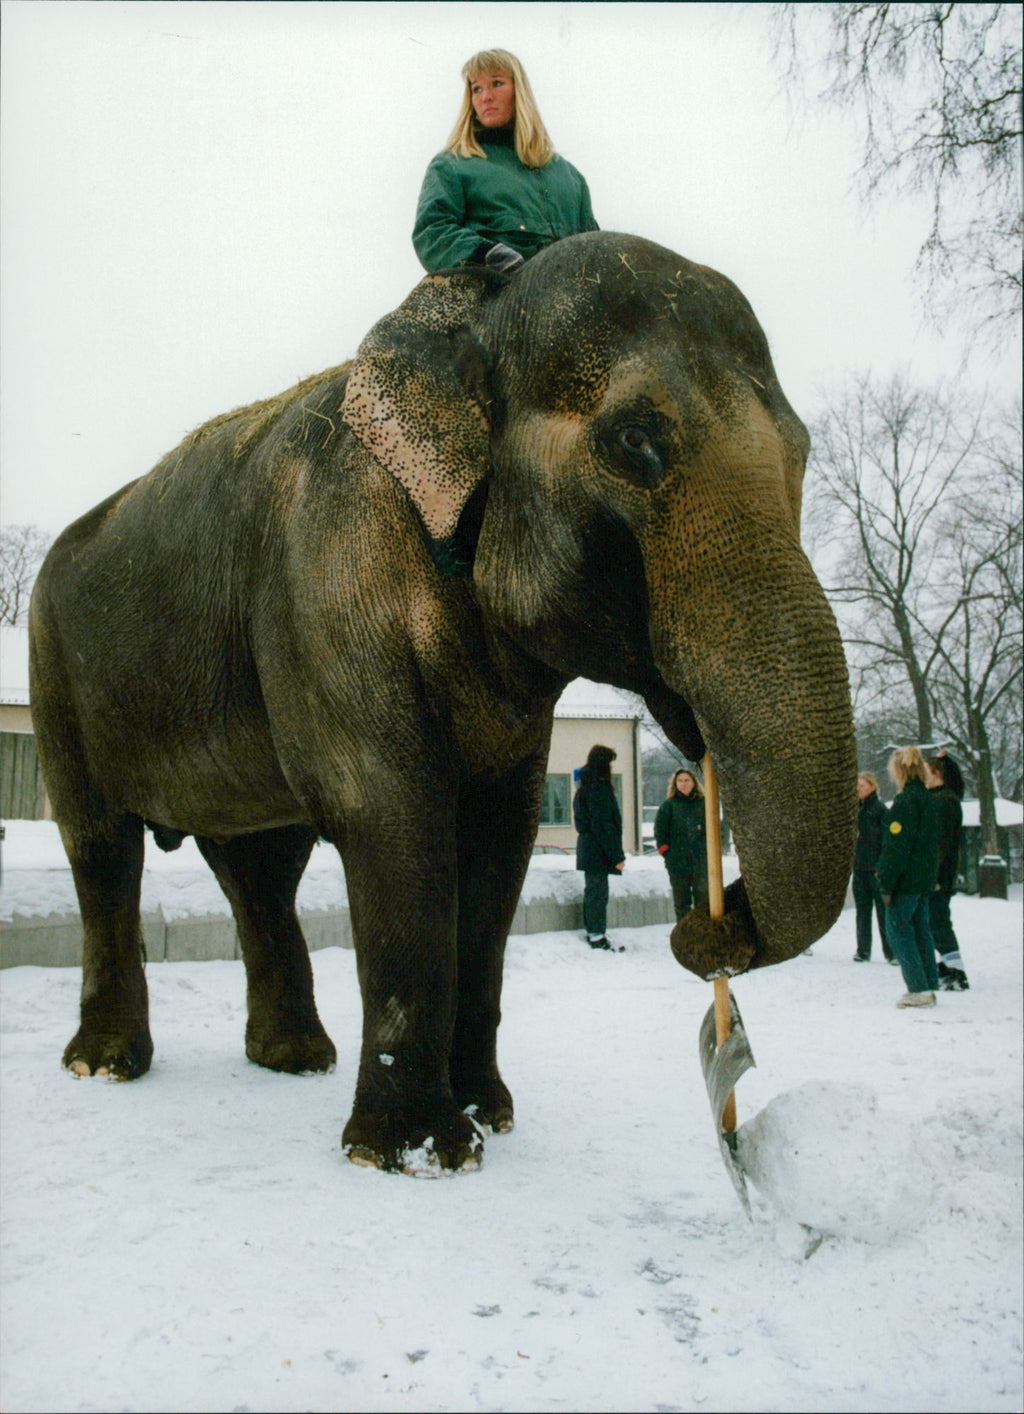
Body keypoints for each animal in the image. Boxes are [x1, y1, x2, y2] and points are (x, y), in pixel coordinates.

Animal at [29, 231, 856, 1174]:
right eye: (634, 440)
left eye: (800, 452)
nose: (707, 934)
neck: (479, 317)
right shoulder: (331, 578)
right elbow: (391, 813)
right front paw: (417, 1153)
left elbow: (499, 839)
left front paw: (488, 1114)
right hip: (56, 667)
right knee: (103, 848)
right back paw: (105, 1066)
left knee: (260, 868)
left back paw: (293, 1060)